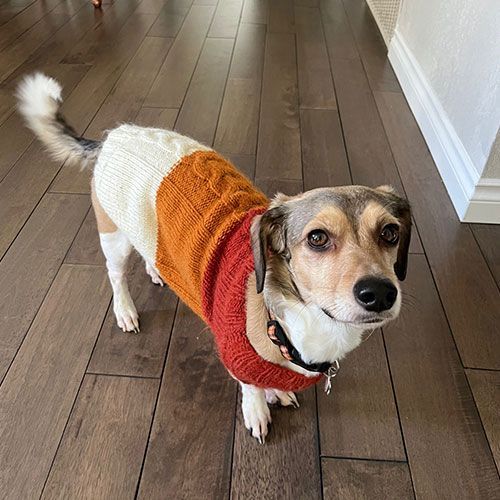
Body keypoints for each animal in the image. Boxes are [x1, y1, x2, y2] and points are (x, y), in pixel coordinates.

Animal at [17, 73, 412, 442]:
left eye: (390, 233)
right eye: (317, 238)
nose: (380, 293)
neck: (289, 321)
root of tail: (115, 136)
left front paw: (278, 391)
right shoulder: (238, 358)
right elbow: (251, 387)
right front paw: (259, 409)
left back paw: (157, 270)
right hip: (113, 236)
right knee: (116, 277)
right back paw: (125, 311)